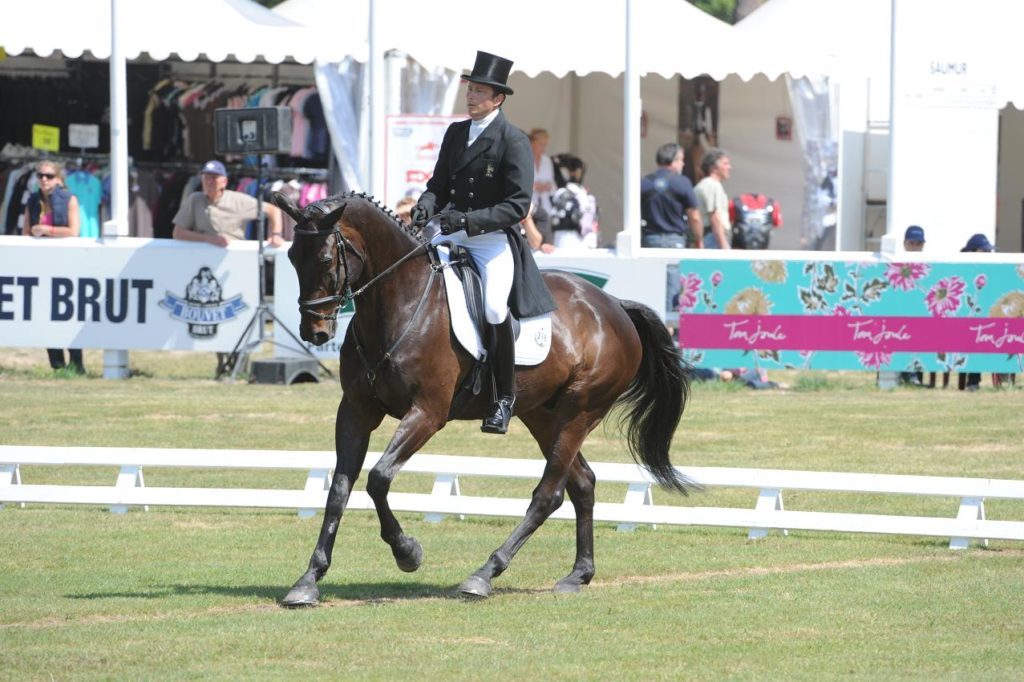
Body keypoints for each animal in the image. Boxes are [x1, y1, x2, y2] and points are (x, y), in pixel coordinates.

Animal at [272, 188, 700, 602]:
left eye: (326, 258)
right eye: (291, 258)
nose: (314, 332)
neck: (401, 303)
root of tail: (614, 306)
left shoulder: (427, 413)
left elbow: (378, 478)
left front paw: (408, 552)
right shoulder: (356, 411)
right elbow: (339, 489)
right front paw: (308, 580)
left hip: (581, 412)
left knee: (548, 493)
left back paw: (483, 575)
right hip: (543, 415)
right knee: (582, 483)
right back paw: (578, 574)